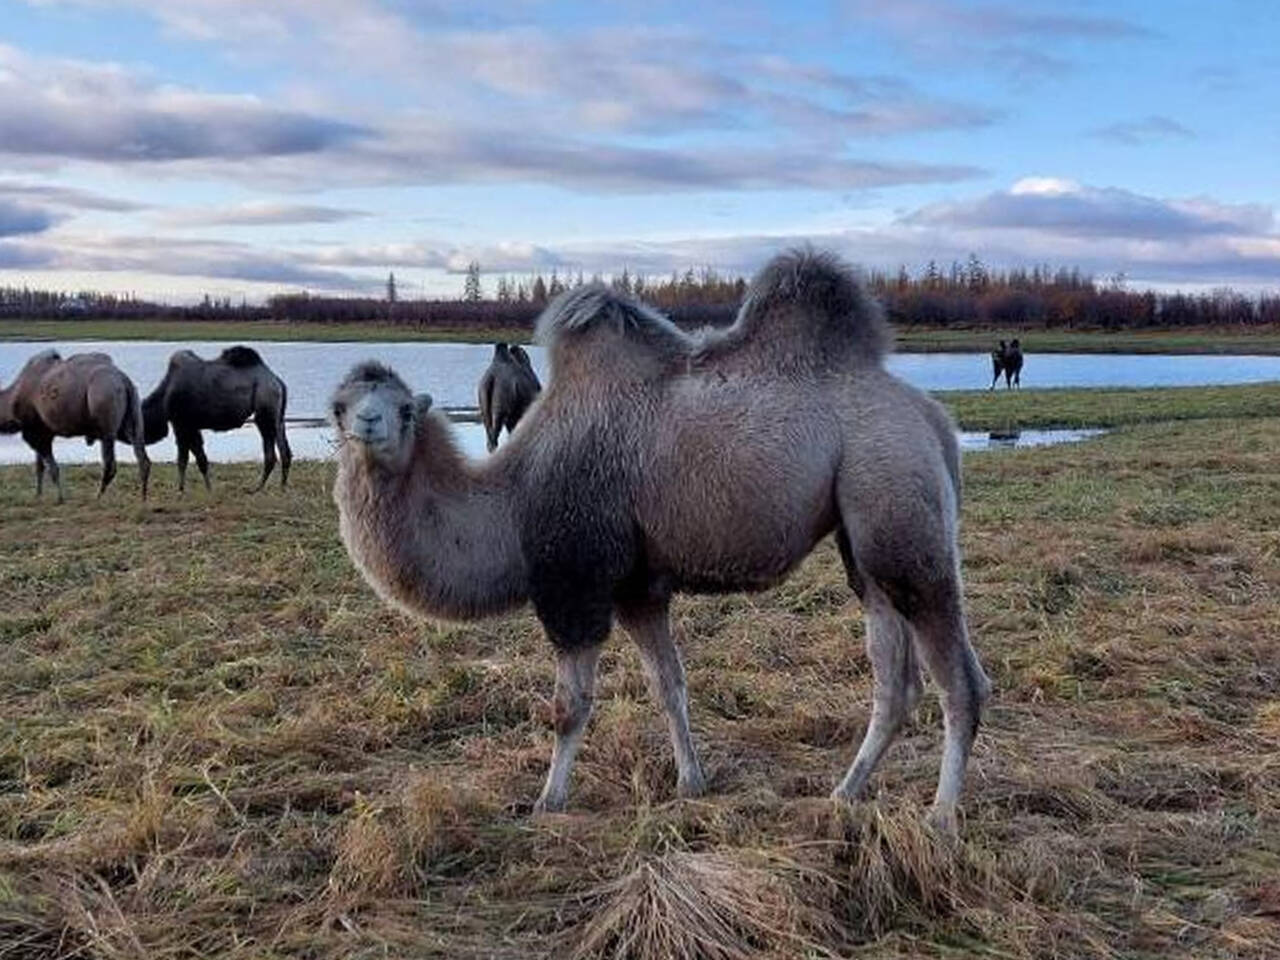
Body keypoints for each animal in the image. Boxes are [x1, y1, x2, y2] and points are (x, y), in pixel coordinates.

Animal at [0, 350, 149, 504]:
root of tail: (124, 380)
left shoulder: (33, 431)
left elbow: (53, 468)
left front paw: (60, 498)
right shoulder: (41, 430)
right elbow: (39, 466)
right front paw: (38, 495)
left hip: (105, 409)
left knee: (110, 462)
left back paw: (97, 496)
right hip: (133, 410)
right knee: (141, 455)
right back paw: (142, 497)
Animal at [142, 345, 290, 491]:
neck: (164, 397)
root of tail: (277, 381)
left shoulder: (182, 424)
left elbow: (185, 459)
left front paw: (184, 489)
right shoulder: (191, 426)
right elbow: (197, 457)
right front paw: (204, 488)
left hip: (266, 410)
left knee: (276, 452)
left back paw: (265, 487)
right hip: (276, 416)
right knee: (281, 450)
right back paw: (269, 487)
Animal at [330, 252, 988, 839]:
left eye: (402, 410)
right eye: (339, 406)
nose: (367, 424)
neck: (511, 504)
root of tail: (934, 420)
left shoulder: (577, 585)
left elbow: (570, 706)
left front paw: (549, 801)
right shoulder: (637, 590)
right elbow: (669, 686)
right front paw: (692, 782)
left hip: (897, 501)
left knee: (958, 678)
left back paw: (940, 818)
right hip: (866, 536)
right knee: (895, 677)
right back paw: (845, 792)